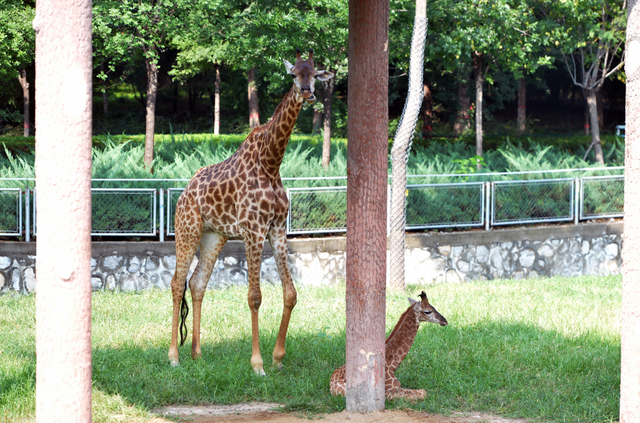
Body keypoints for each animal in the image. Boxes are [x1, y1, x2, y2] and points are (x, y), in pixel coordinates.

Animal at [168, 48, 332, 376]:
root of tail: (184, 193)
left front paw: (278, 358)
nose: (307, 93)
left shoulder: (277, 229)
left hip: (213, 235)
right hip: (187, 229)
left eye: (314, 75)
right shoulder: (253, 230)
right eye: (294, 74)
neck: (271, 162)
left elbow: (291, 294)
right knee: (177, 282)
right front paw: (257, 364)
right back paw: (173, 357)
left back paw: (197, 355)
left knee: (197, 283)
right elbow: (255, 297)